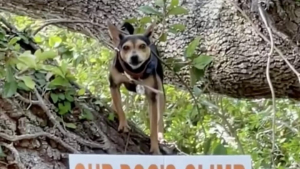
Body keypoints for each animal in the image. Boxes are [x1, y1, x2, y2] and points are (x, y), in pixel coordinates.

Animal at [106, 21, 165, 155]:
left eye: (142, 46)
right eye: (125, 48)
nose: (134, 57)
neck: (134, 72)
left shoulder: (152, 95)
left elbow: (153, 125)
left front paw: (155, 147)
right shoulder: (114, 85)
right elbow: (120, 108)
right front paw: (123, 124)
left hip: (160, 90)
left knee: (160, 117)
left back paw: (160, 135)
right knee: (115, 103)